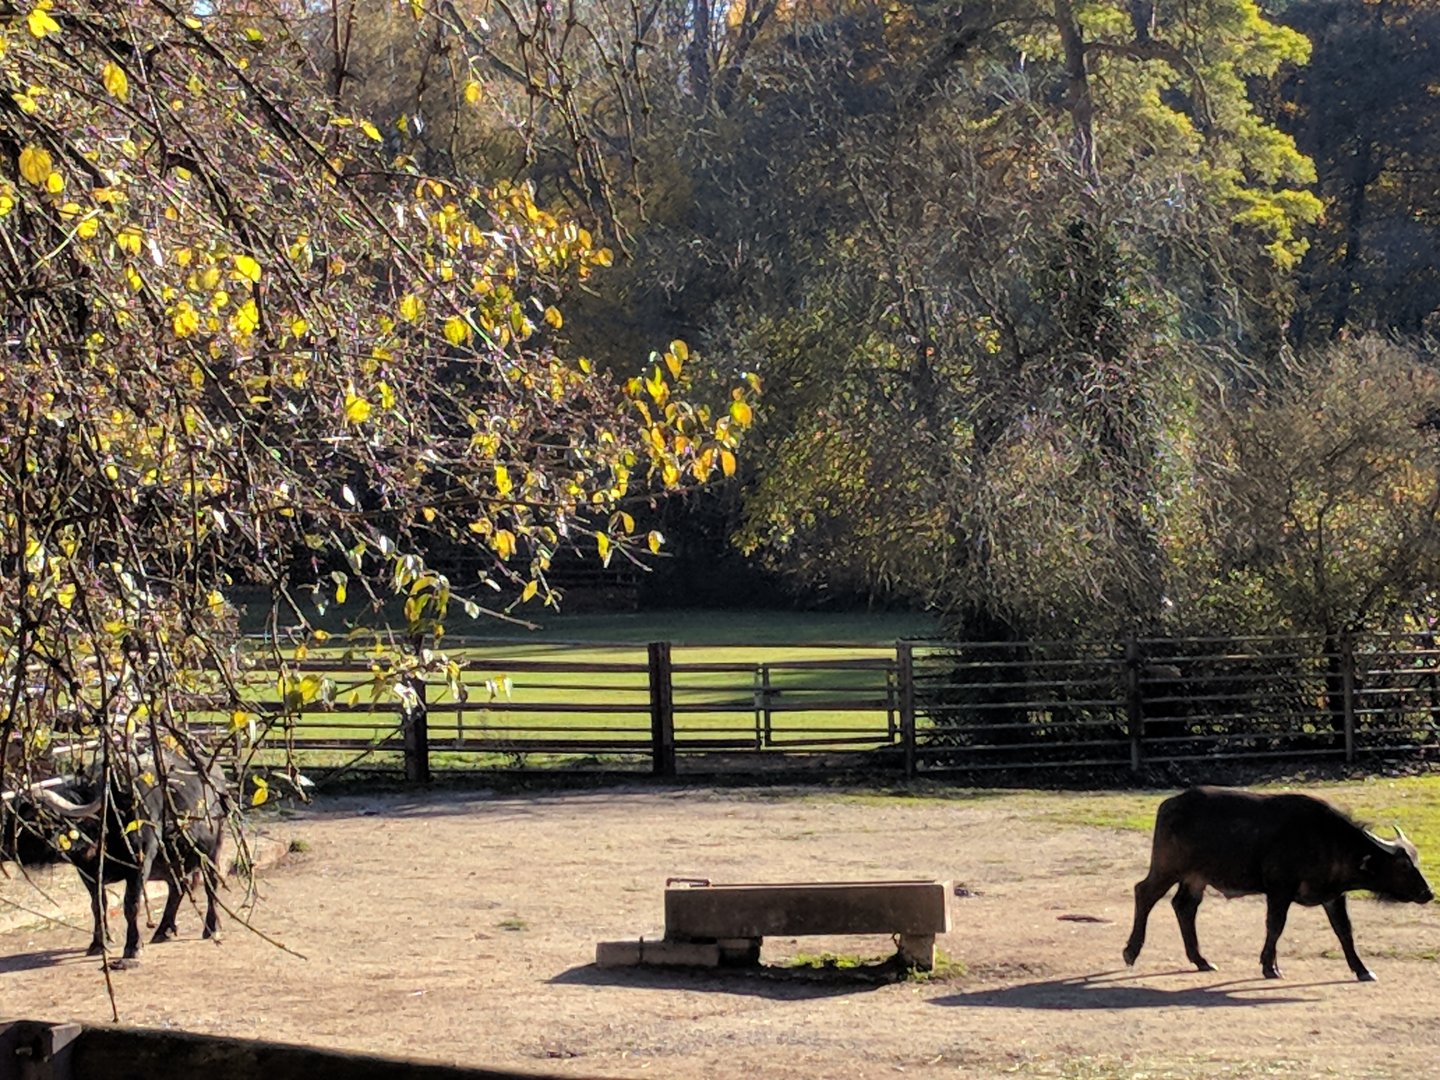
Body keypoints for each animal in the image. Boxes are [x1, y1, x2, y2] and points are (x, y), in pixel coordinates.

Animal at [1, 750, 230, 967]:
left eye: (25, 819)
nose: (3, 846)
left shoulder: (140, 864)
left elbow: (131, 905)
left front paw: (133, 946)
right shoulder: (89, 873)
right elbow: (98, 905)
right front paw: (98, 943)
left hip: (211, 852)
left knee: (211, 886)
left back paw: (212, 928)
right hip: (172, 862)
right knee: (178, 888)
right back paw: (163, 930)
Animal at [1122, 786, 1434, 981]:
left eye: (1417, 861)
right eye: (1404, 865)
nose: (1428, 892)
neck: (1326, 840)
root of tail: (1170, 805)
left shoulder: (1333, 896)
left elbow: (1344, 931)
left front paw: (1362, 970)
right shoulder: (1279, 891)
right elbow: (1275, 926)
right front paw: (1269, 966)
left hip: (1195, 878)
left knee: (1184, 907)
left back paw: (1201, 960)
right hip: (1168, 869)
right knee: (1145, 893)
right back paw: (1131, 952)